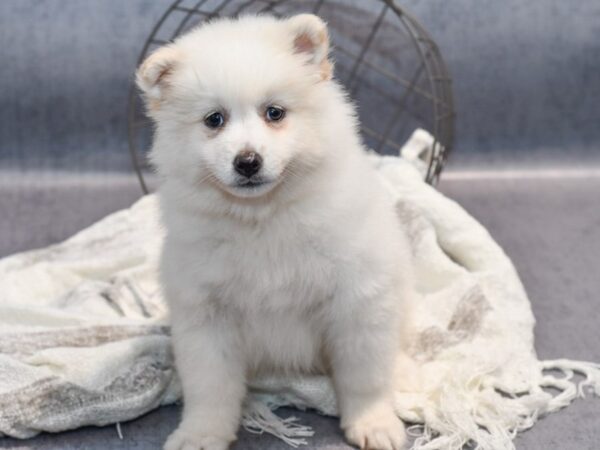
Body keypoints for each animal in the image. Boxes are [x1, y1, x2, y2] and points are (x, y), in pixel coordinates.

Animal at [138, 13, 414, 450]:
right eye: (214, 120)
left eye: (274, 113)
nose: (248, 161)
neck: (262, 219)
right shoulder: (206, 312)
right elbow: (210, 385)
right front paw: (201, 433)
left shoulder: (359, 300)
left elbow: (364, 374)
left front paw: (373, 423)